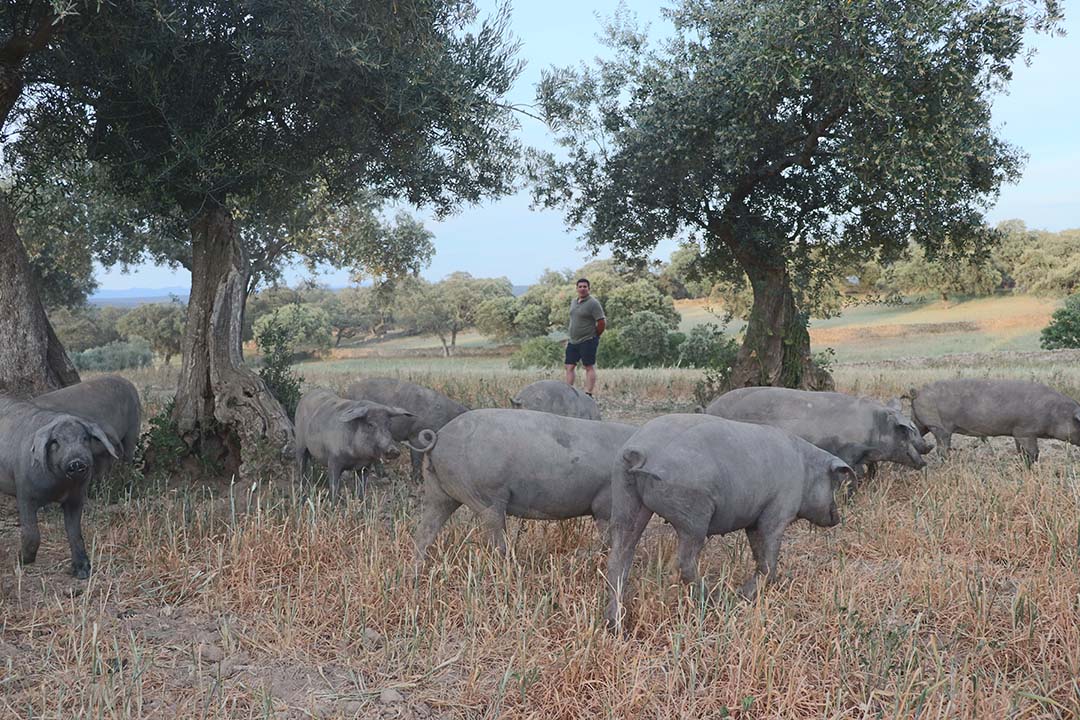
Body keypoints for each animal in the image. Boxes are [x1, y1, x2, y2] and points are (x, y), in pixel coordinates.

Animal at [0, 397, 119, 578]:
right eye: (55, 442)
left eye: (84, 438)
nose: (76, 462)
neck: (58, 487)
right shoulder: (24, 495)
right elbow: (31, 532)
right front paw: (21, 560)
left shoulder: (76, 498)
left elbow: (75, 532)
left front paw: (83, 572)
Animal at [410, 408, 630, 565]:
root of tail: (438, 437)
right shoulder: (606, 504)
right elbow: (610, 539)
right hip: (485, 495)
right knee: (496, 538)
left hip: (438, 492)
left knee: (424, 531)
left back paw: (415, 573)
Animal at [609, 414, 851, 634]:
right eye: (834, 482)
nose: (837, 517)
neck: (805, 470)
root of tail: (641, 451)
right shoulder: (778, 512)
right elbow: (770, 557)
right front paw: (745, 595)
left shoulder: (753, 521)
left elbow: (759, 554)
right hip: (693, 513)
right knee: (682, 563)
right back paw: (718, 599)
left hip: (626, 500)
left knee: (619, 558)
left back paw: (616, 626)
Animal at [708, 386, 928, 481]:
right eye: (907, 430)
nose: (929, 445)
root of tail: (709, 408)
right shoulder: (848, 453)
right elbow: (853, 476)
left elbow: (872, 471)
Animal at [911, 377, 1080, 462]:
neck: (1054, 413)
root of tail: (918, 392)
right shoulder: (1025, 431)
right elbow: (1033, 453)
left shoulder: (1017, 432)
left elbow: (1021, 451)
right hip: (939, 426)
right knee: (942, 448)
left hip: (920, 422)